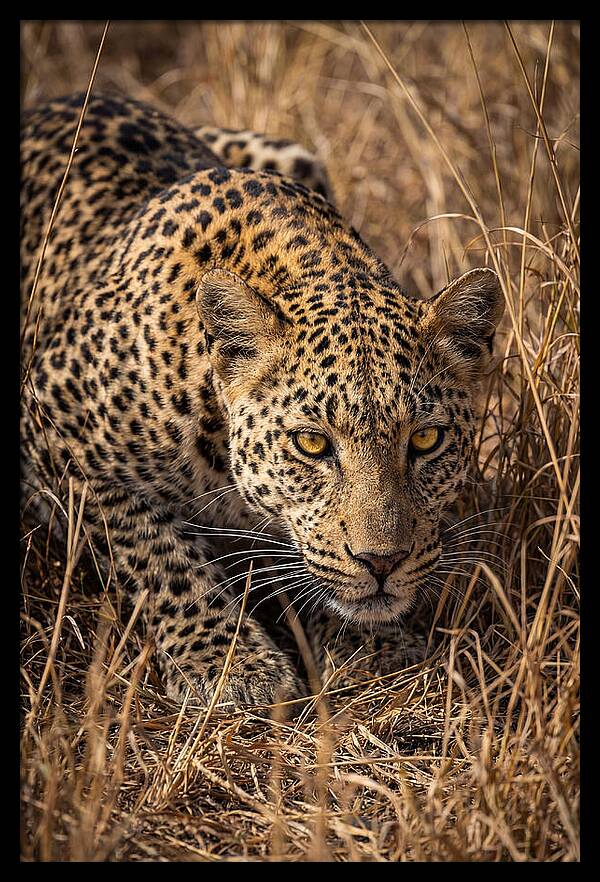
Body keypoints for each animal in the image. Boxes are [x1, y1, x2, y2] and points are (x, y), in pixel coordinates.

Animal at [20, 91, 504, 708]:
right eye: (312, 444)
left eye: (425, 439)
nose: (382, 562)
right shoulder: (53, 422)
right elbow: (156, 552)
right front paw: (231, 664)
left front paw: (374, 648)